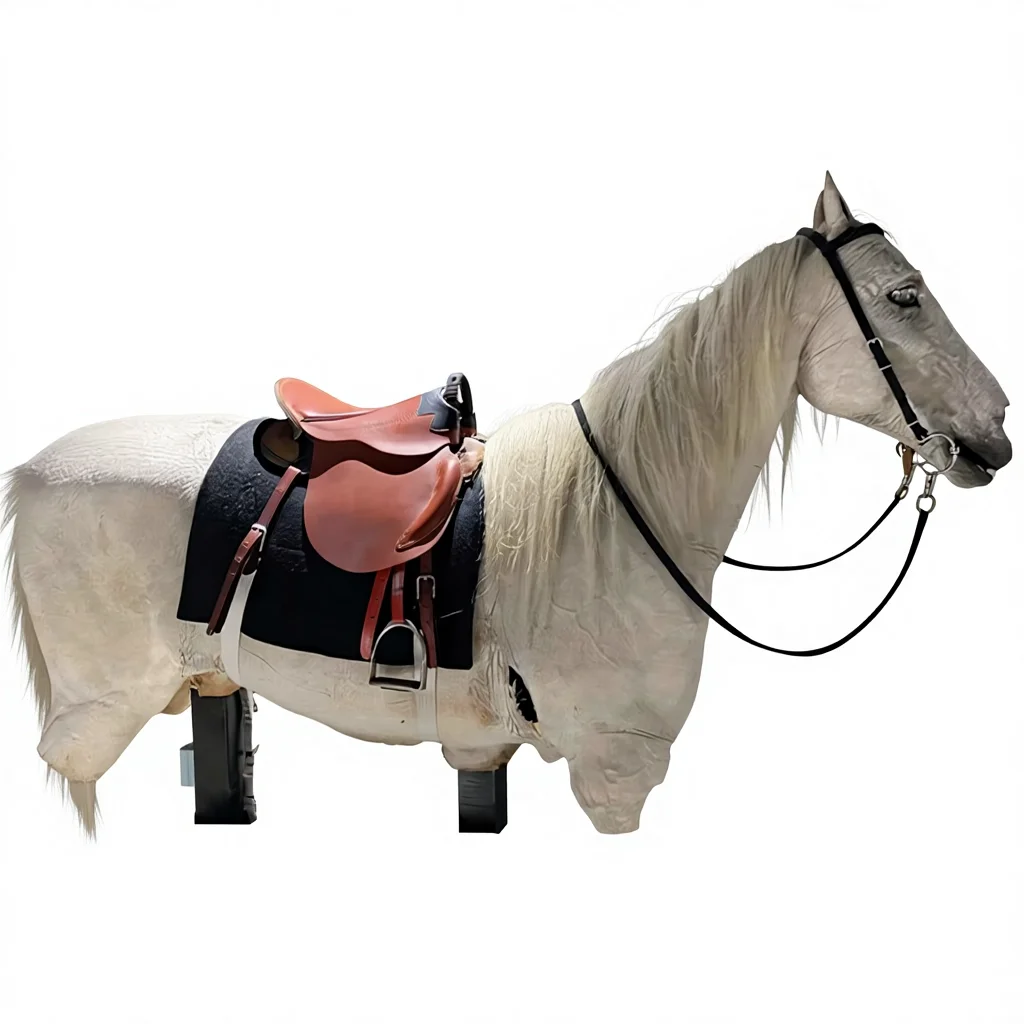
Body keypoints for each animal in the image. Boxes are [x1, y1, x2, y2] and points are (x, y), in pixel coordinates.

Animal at [1, 173, 1012, 835]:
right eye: (904, 296)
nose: (997, 429)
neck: (619, 517)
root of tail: (33, 471)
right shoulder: (616, 767)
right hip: (98, 713)